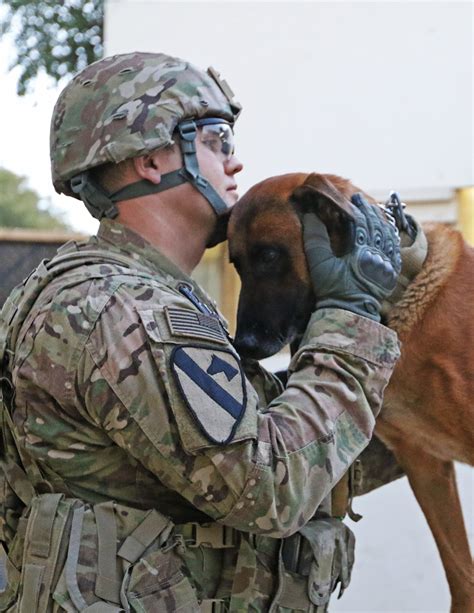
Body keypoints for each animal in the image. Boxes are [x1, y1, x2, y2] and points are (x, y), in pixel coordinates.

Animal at [228, 172, 472, 612]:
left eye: (269, 255)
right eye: (236, 263)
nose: (244, 345)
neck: (399, 295)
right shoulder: (425, 465)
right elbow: (462, 573)